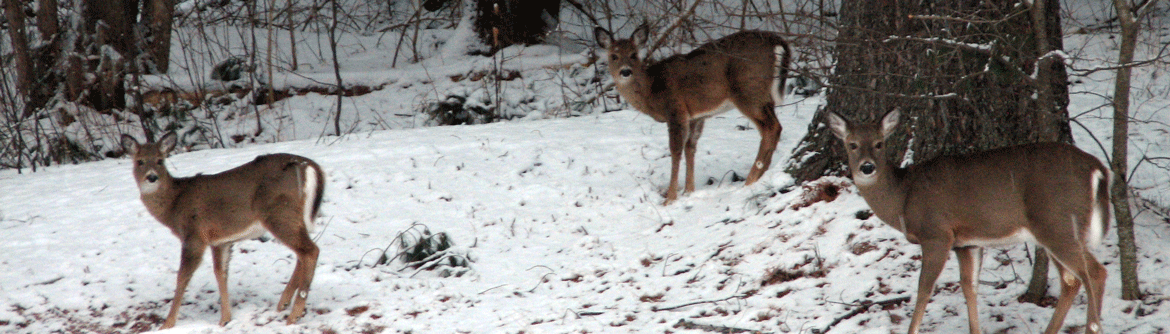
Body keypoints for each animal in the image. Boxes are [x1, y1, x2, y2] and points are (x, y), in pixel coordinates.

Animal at [120, 131, 325, 325]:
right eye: (139, 161)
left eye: (160, 160)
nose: (152, 177)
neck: (174, 204)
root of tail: (307, 165)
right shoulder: (220, 241)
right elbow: (221, 274)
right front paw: (225, 318)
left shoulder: (194, 235)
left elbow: (182, 277)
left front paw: (167, 324)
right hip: (292, 217)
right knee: (302, 252)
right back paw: (283, 303)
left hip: (279, 213)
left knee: (310, 251)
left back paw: (294, 314)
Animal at [594, 25, 795, 202]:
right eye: (614, 56)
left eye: (633, 55)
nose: (625, 71)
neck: (651, 90)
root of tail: (778, 42)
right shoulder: (696, 116)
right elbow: (690, 147)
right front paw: (689, 191)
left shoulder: (675, 109)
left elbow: (675, 149)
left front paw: (670, 198)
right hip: (760, 95)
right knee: (774, 127)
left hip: (749, 90)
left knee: (771, 127)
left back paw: (751, 180)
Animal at [828, 107, 1109, 330]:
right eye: (852, 144)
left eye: (879, 143)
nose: (867, 167)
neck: (903, 197)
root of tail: (1097, 168)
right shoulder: (967, 243)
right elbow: (969, 287)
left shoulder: (937, 234)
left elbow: (924, 289)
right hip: (1053, 230)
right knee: (1071, 280)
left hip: (1058, 223)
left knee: (1095, 273)